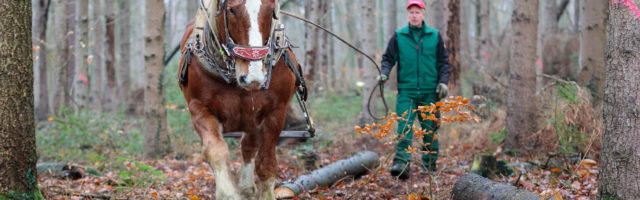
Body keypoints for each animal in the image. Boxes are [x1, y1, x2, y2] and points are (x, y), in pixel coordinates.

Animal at [178, 0, 298, 199]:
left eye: (272, 11)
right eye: (232, 10)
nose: (254, 77)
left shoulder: (276, 112)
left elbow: (266, 164)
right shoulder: (199, 108)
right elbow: (216, 151)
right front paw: (227, 193)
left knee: (249, 146)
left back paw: (247, 187)